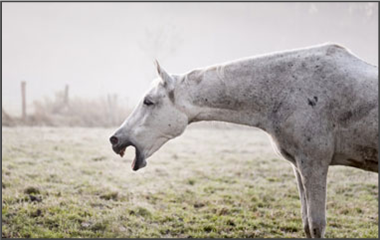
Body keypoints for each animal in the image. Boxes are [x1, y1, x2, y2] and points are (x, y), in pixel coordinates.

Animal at [109, 43, 378, 238]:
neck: (288, 90)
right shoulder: (299, 167)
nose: (115, 139)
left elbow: (316, 226)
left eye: (148, 101)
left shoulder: (314, 164)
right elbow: (306, 225)